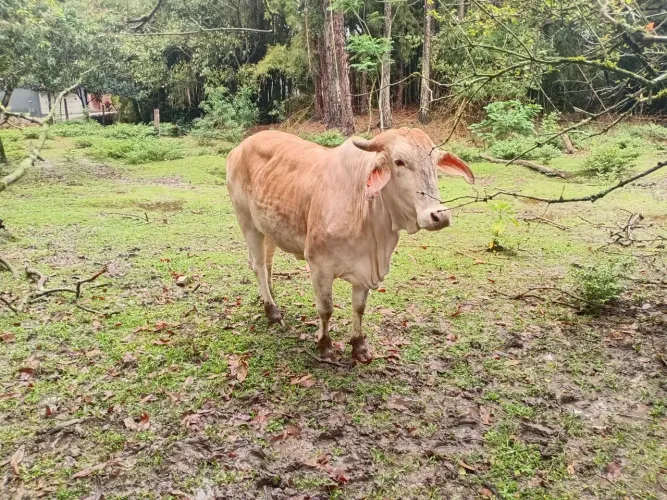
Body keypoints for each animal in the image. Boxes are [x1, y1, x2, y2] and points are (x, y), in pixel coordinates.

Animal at [226, 127, 474, 363]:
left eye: (435, 163)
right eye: (399, 161)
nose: (439, 216)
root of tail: (238, 148)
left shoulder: (365, 270)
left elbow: (359, 307)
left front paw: (359, 345)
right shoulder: (319, 265)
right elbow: (325, 309)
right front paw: (325, 345)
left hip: (268, 228)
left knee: (267, 262)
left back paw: (270, 295)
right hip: (246, 222)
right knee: (258, 265)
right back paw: (272, 310)